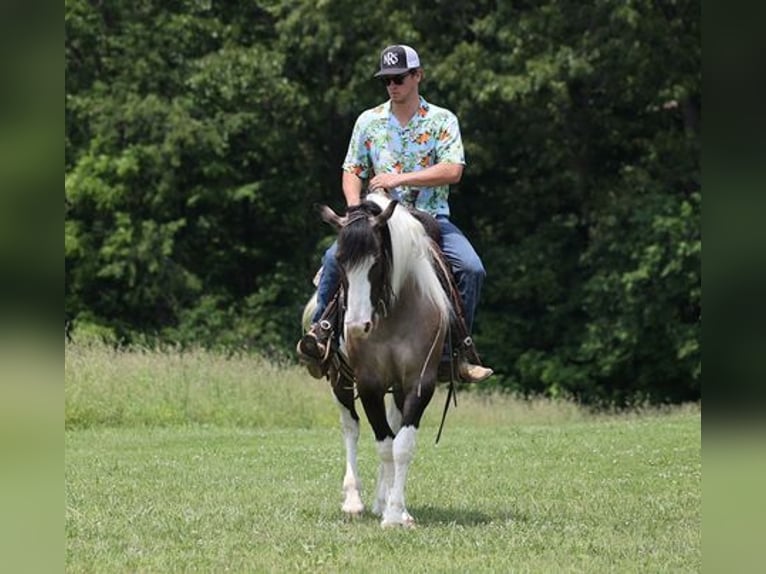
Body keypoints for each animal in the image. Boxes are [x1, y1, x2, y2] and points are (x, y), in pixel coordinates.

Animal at [304, 191, 452, 528]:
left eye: (377, 260)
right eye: (340, 261)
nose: (356, 327)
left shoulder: (419, 383)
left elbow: (402, 445)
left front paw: (396, 512)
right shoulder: (369, 383)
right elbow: (384, 444)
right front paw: (389, 513)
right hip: (340, 379)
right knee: (351, 427)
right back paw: (354, 500)